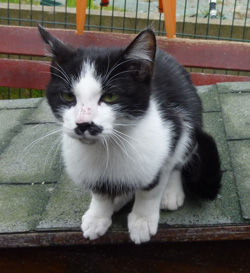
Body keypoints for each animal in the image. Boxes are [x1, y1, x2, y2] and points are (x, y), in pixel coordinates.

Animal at [38, 25, 222, 242]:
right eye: (67, 96)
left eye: (110, 96)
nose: (83, 124)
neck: (108, 146)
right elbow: (100, 192)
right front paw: (98, 215)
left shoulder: (171, 126)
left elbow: (152, 186)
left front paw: (142, 220)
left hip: (190, 115)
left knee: (178, 158)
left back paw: (170, 191)